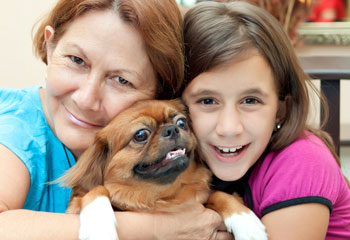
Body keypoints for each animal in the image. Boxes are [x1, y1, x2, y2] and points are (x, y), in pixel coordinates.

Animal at [59, 98, 268, 239]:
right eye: (141, 135)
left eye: (182, 123)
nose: (172, 129)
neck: (162, 195)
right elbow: (96, 189)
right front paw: (99, 227)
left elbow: (219, 195)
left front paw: (247, 223)